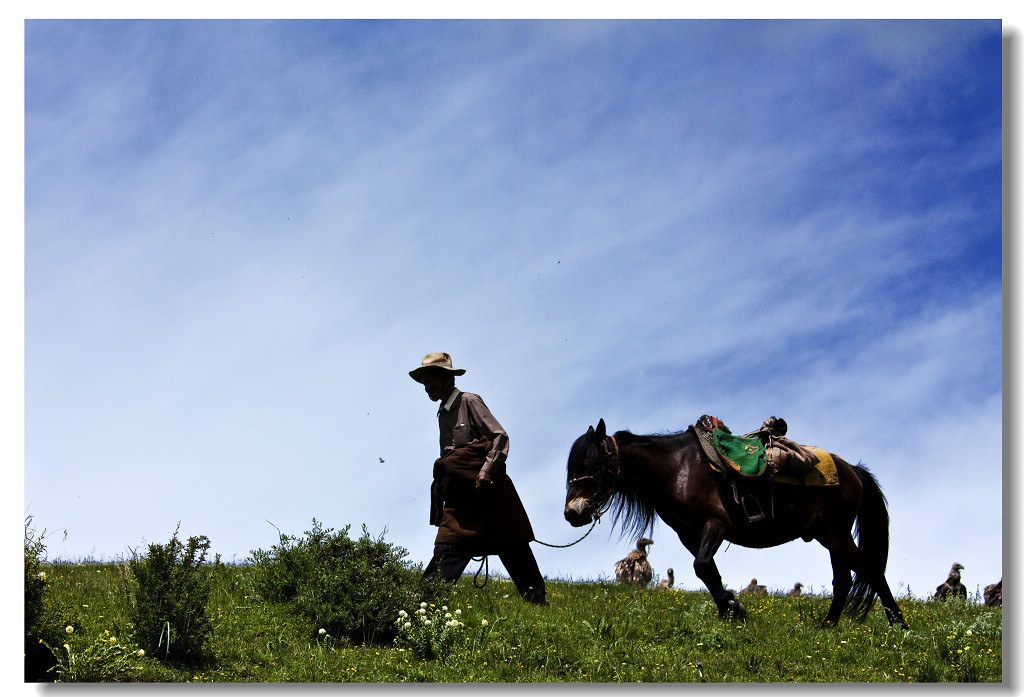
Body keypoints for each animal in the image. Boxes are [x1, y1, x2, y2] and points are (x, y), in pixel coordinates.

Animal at [565, 419, 909, 630]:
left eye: (590, 463)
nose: (572, 513)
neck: (677, 467)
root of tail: (852, 470)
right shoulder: (690, 534)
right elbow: (708, 571)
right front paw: (729, 607)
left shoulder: (716, 524)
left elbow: (703, 566)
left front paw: (733, 607)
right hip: (830, 535)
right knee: (844, 580)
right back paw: (828, 626)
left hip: (836, 533)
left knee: (869, 570)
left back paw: (899, 625)